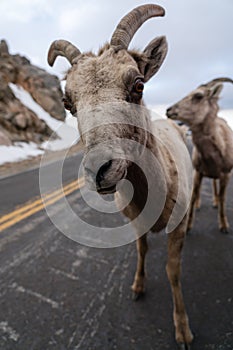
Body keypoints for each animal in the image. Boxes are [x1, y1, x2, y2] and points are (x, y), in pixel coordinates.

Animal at [48, 4, 193, 348]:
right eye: (68, 103)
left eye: (138, 85)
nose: (100, 170)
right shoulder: (136, 223)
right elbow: (142, 251)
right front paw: (138, 288)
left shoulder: (177, 228)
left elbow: (173, 272)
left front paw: (183, 331)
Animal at [167, 78, 233, 234]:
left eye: (198, 96)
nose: (169, 110)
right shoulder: (198, 171)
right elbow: (193, 196)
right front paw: (188, 226)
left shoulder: (226, 174)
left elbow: (223, 198)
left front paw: (224, 226)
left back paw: (215, 202)